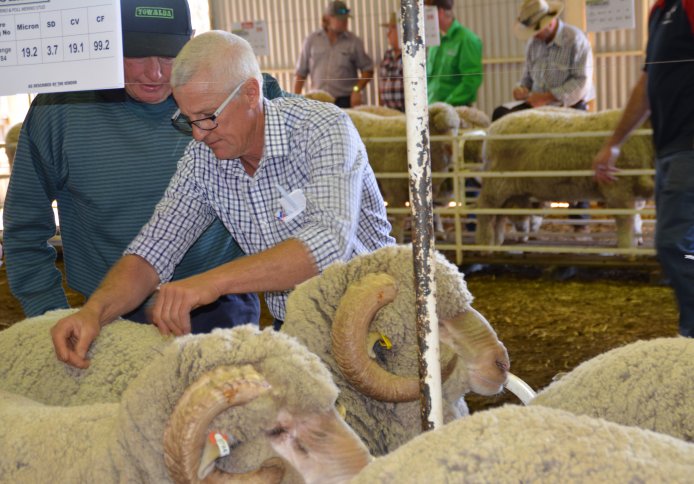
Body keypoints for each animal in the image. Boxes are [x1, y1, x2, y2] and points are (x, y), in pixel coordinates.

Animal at [478, 108, 652, 248]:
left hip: (508, 190)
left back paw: (497, 241)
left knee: (499, 215)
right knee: (485, 211)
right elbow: (625, 221)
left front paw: (636, 240)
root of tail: (494, 127)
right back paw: (485, 243)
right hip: (497, 183)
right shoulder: (618, 188)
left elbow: (635, 219)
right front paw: (627, 246)